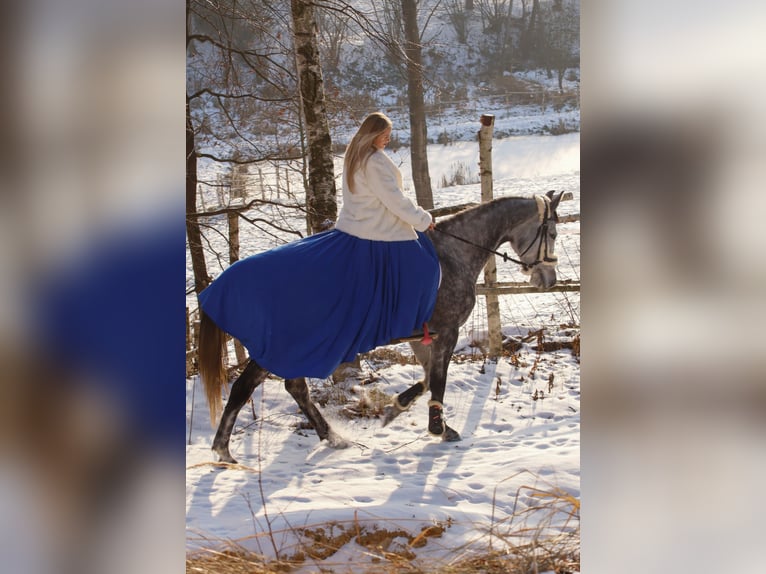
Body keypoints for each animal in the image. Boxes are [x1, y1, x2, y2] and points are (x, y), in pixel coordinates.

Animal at [198, 190, 564, 463]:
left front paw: (395, 409)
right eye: (553, 233)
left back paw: (331, 438)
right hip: (280, 347)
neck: (453, 254)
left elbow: (428, 379)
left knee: (294, 388)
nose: (548, 280)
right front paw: (439, 429)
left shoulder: (423, 337)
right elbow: (438, 381)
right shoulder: (447, 332)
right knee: (246, 389)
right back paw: (224, 451)